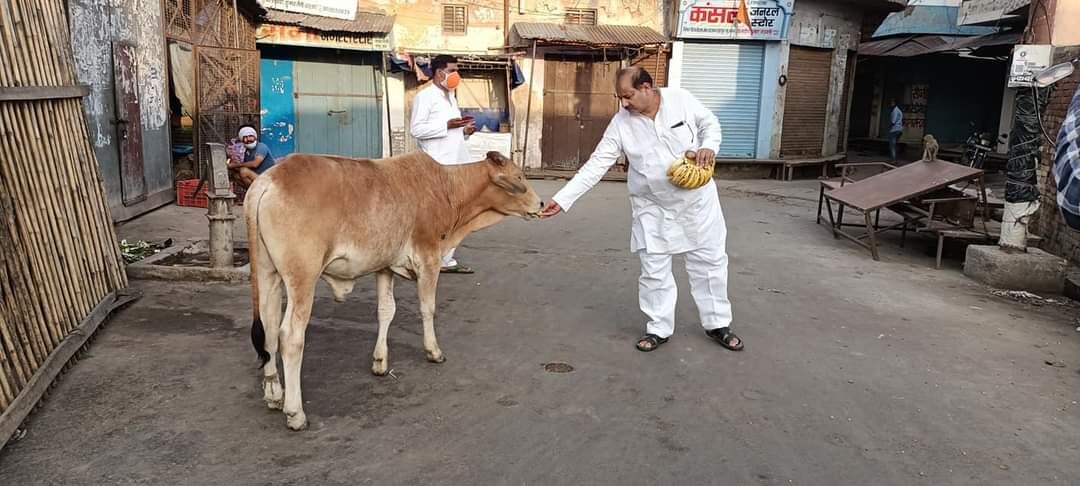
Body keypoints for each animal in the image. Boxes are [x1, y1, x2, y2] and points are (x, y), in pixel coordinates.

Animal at [247, 150, 544, 427]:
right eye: (519, 176)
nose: (542, 204)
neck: (447, 187)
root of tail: (268, 180)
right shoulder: (428, 258)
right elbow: (427, 309)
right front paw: (433, 351)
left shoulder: (385, 267)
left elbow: (386, 312)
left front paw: (380, 362)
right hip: (302, 278)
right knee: (290, 337)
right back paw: (295, 412)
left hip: (268, 275)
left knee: (269, 330)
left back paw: (274, 393)